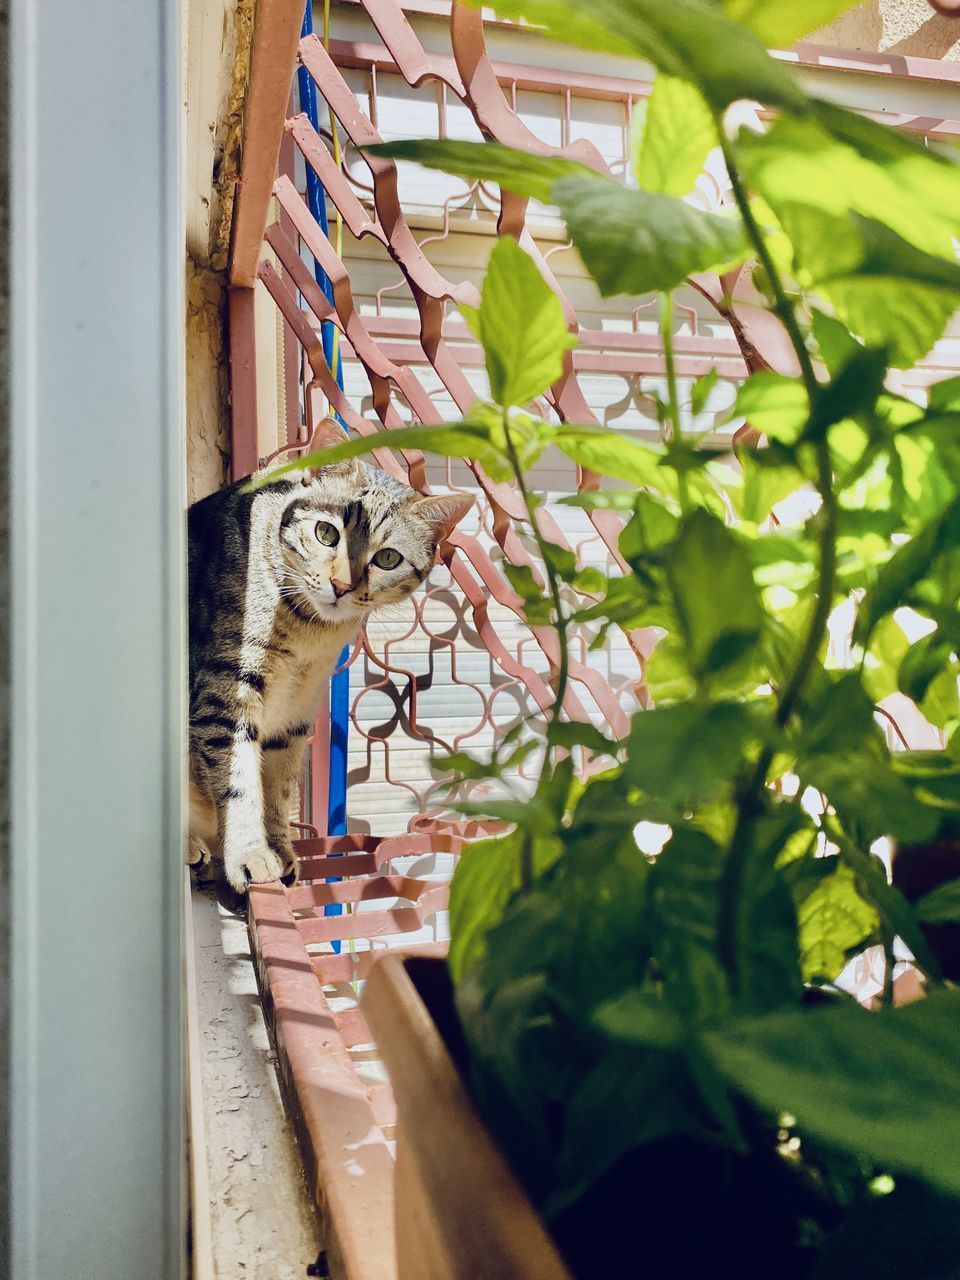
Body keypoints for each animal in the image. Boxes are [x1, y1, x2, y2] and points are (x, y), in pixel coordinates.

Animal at [189, 419, 473, 890]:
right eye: (327, 533)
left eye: (387, 558)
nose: (341, 585)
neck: (309, 632)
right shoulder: (225, 691)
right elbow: (239, 780)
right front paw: (250, 854)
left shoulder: (296, 710)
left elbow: (277, 787)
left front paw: (279, 848)